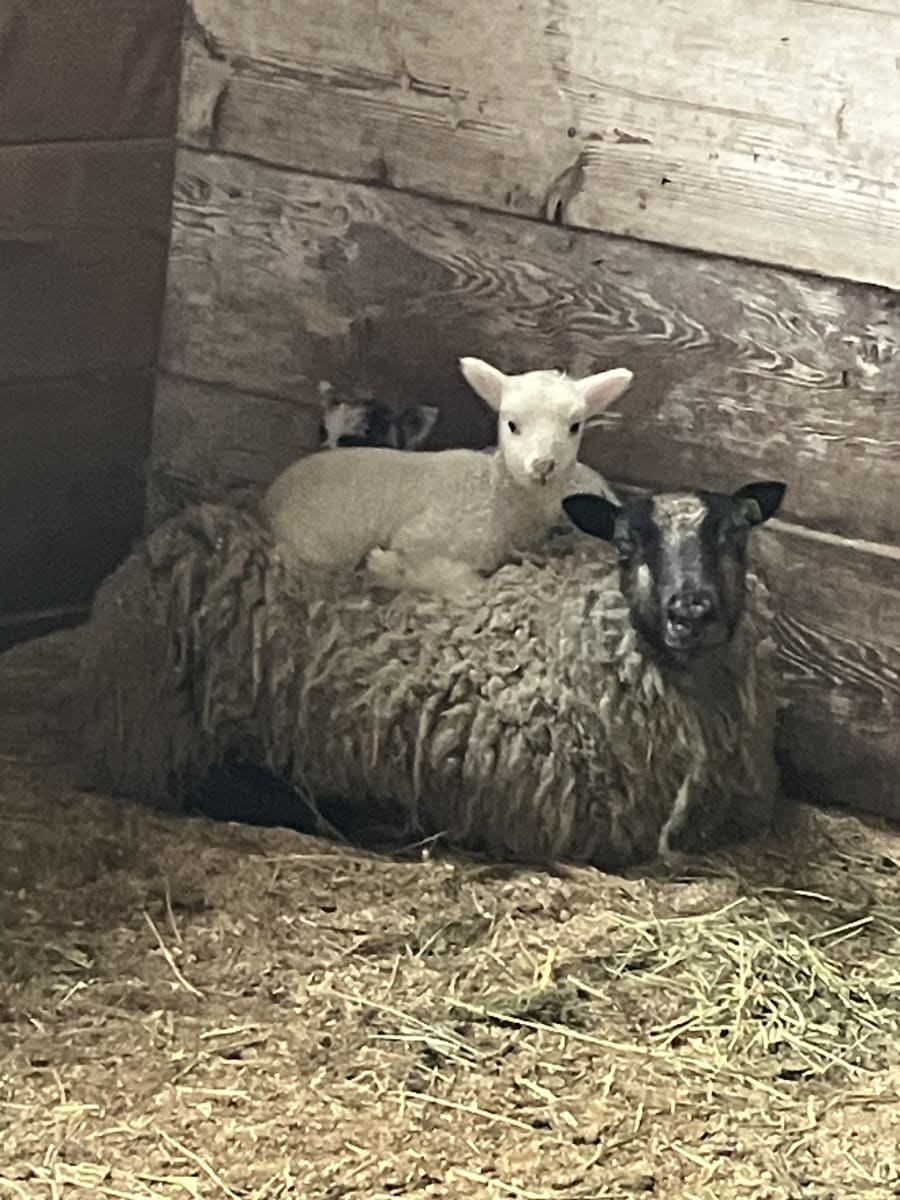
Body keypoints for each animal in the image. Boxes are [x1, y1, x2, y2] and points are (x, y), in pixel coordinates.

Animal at [263, 358, 633, 599]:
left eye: (575, 426)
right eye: (512, 424)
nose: (543, 465)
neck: (500, 498)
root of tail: (270, 501)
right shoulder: (423, 537)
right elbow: (457, 584)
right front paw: (385, 567)